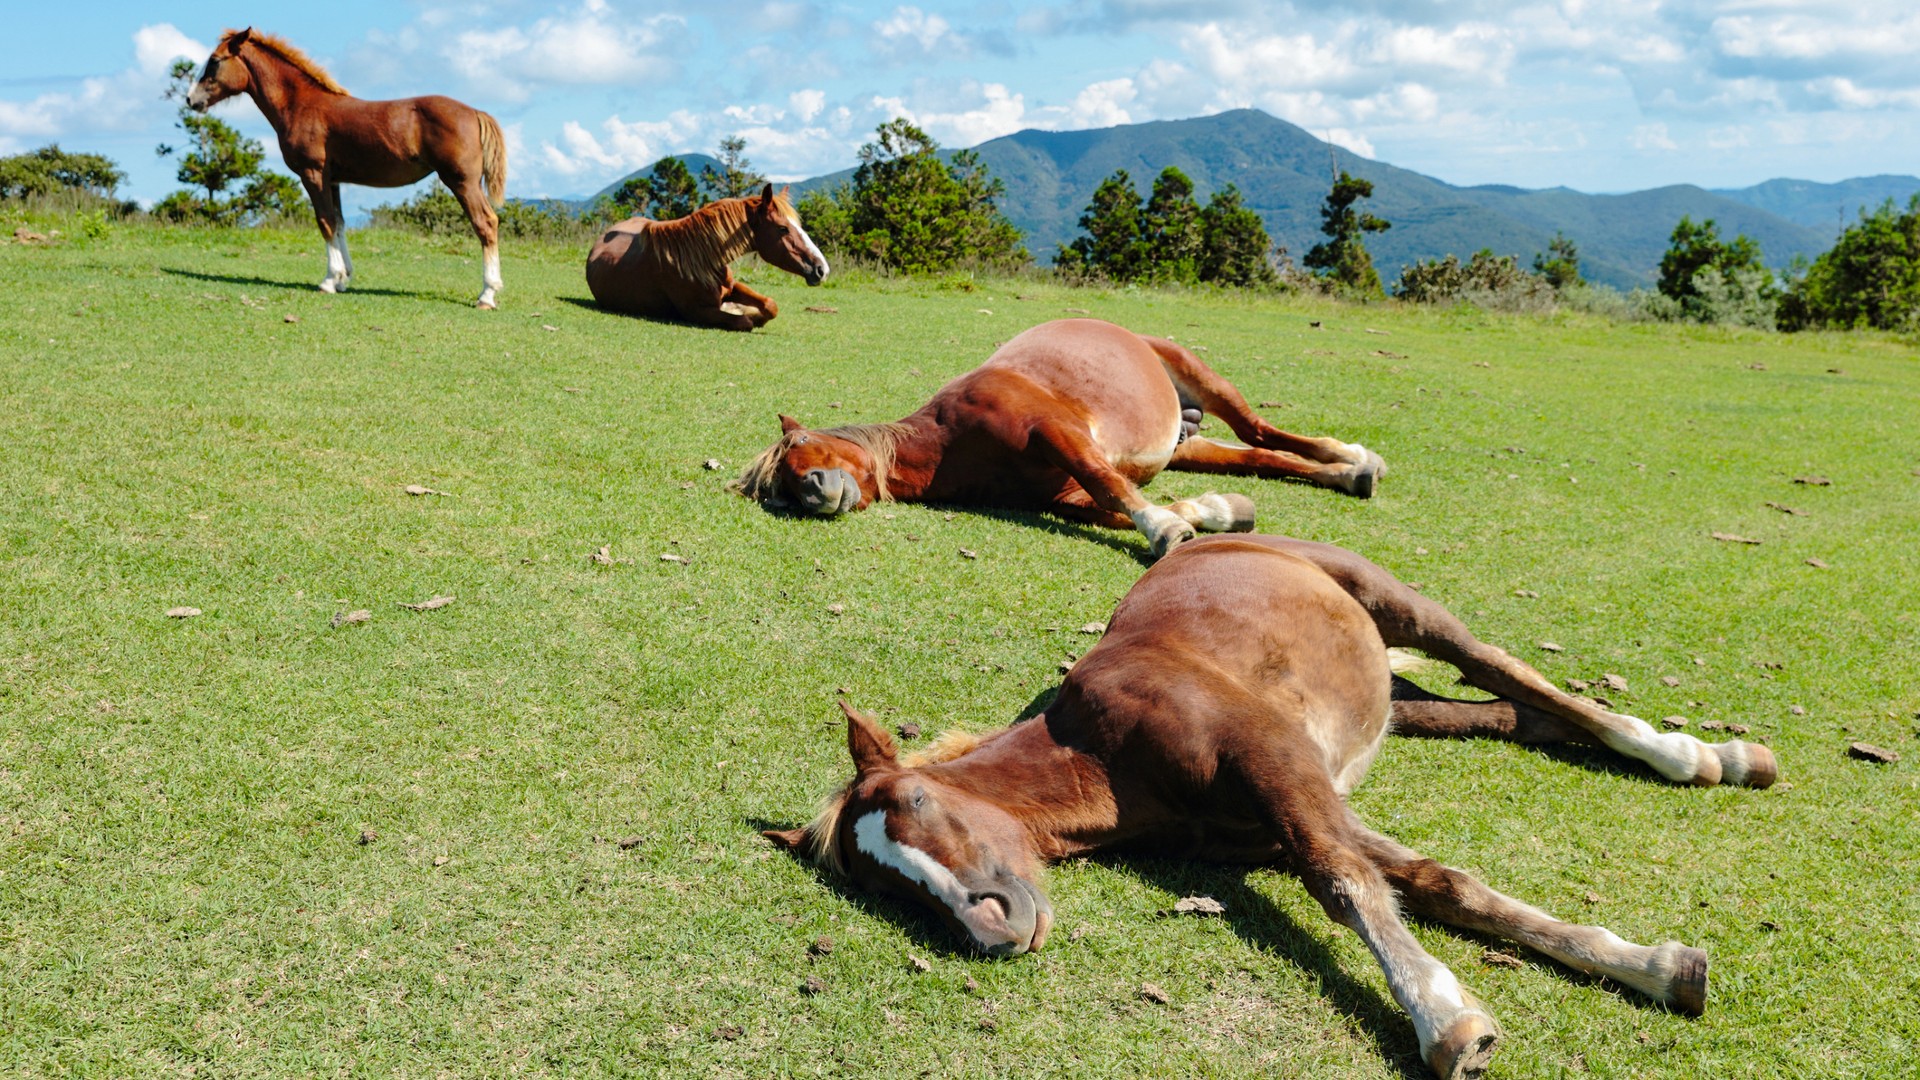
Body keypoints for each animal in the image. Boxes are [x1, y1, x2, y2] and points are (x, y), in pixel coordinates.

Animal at [187, 29, 510, 307]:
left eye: (214, 61)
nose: (192, 99)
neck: (299, 105)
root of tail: (475, 112)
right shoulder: (333, 180)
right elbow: (340, 223)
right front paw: (344, 278)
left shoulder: (313, 174)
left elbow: (325, 222)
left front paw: (330, 280)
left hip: (462, 182)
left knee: (486, 223)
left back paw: (487, 295)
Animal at [583, 182, 825, 330]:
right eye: (783, 228)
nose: (821, 269)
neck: (698, 258)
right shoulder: (695, 312)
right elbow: (744, 322)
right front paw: (744, 314)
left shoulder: (732, 287)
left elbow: (770, 305)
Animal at [729, 315, 1382, 553]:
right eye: (779, 493)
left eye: (797, 449)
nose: (812, 492)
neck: (949, 442)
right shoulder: (1058, 494)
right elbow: (1111, 505)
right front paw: (1215, 513)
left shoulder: (1057, 433)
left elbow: (1110, 484)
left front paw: (1166, 528)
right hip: (1190, 445)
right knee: (1261, 456)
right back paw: (1347, 474)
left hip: (1202, 377)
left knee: (1262, 429)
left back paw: (1352, 456)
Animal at [760, 530, 1766, 1076]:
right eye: (883, 886)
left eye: (918, 797)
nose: (993, 927)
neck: (1105, 750)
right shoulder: (1280, 817)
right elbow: (1436, 882)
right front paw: (1656, 965)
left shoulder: (1279, 768)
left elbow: (1346, 884)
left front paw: (1449, 1026)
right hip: (1391, 698)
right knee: (1508, 712)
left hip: (1400, 606)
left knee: (1520, 679)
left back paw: (1695, 755)